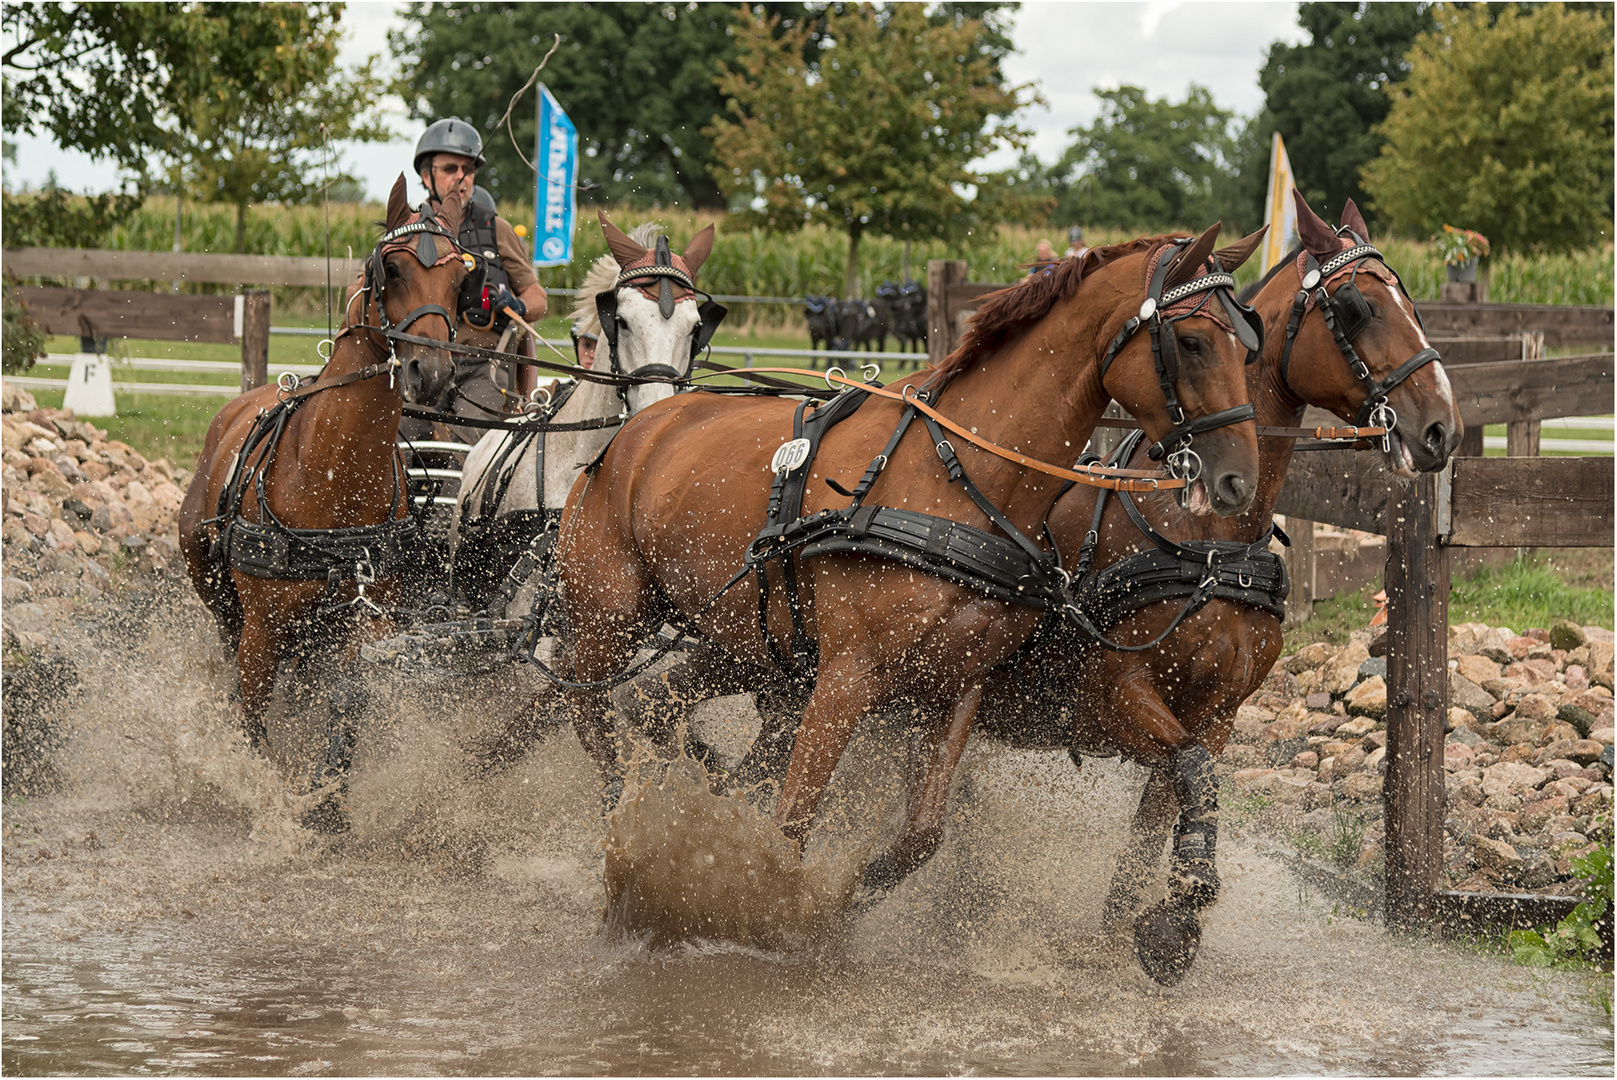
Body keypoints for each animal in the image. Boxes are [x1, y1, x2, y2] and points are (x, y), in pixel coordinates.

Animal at [179, 177, 468, 818]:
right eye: (391, 268)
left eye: (462, 279)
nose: (431, 371)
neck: (334, 477)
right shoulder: (262, 631)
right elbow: (253, 714)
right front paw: (268, 794)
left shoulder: (366, 624)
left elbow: (347, 702)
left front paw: (328, 800)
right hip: (216, 591)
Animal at [562, 226, 1267, 879]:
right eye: (1193, 341)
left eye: (1249, 343)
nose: (1238, 480)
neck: (961, 480)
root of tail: (635, 429)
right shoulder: (846, 678)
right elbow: (789, 831)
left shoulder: (954, 684)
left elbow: (920, 836)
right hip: (609, 622)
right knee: (590, 711)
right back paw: (623, 818)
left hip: (750, 643)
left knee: (650, 704)